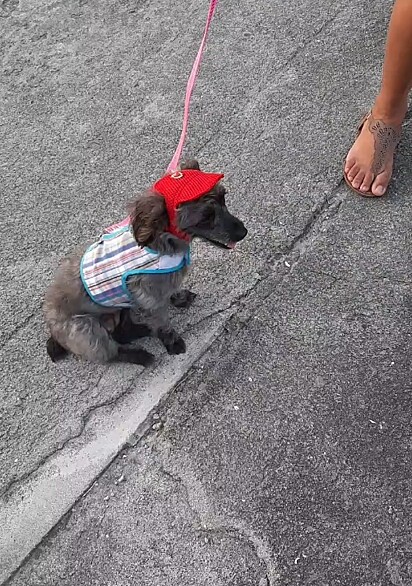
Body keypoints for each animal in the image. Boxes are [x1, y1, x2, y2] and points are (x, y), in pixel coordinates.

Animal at [43, 157, 246, 364]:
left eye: (223, 198)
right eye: (205, 217)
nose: (243, 232)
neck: (162, 240)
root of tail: (53, 329)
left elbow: (171, 293)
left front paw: (178, 298)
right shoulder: (150, 298)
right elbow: (162, 322)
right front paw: (171, 340)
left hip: (120, 309)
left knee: (122, 331)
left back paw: (142, 330)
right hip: (87, 330)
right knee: (112, 351)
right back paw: (137, 355)